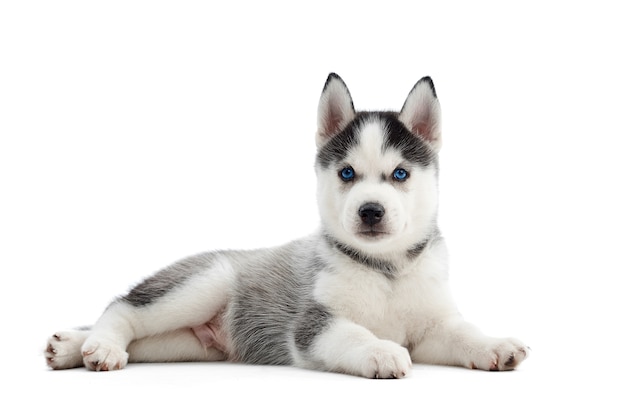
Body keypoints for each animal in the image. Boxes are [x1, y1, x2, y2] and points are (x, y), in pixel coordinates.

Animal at [46, 73, 528, 378]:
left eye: (400, 174)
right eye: (347, 173)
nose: (371, 211)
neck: (384, 269)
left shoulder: (433, 326)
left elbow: (463, 333)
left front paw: (494, 345)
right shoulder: (313, 325)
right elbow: (353, 332)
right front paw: (380, 350)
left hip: (182, 343)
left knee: (142, 339)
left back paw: (71, 345)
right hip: (203, 283)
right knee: (123, 309)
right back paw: (100, 347)